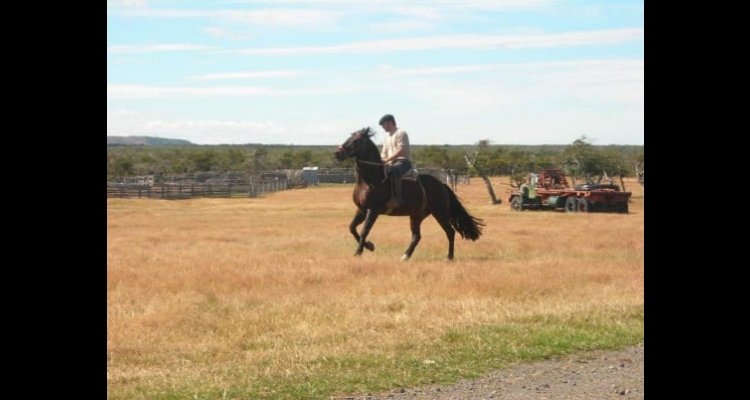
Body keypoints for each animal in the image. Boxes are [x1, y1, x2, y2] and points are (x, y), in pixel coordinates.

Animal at [334, 126, 488, 260]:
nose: (337, 153)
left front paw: (359, 252)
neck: (371, 179)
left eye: (356, 141)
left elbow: (365, 230)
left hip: (440, 213)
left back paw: (449, 257)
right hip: (416, 215)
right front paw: (369, 246)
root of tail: (441, 185)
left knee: (450, 232)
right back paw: (405, 256)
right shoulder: (361, 209)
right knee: (416, 236)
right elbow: (352, 228)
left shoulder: (373, 210)